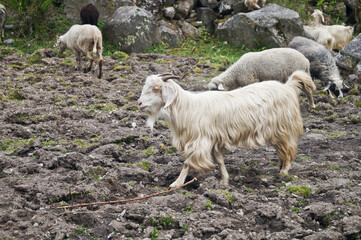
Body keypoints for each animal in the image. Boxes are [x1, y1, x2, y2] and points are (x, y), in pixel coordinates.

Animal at [138, 70, 316, 188]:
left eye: (156, 88)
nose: (139, 103)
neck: (187, 108)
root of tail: (288, 87)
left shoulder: (201, 140)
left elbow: (187, 163)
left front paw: (176, 184)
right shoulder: (215, 139)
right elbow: (219, 160)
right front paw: (224, 180)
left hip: (284, 128)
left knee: (288, 149)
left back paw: (284, 172)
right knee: (283, 150)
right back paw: (280, 167)